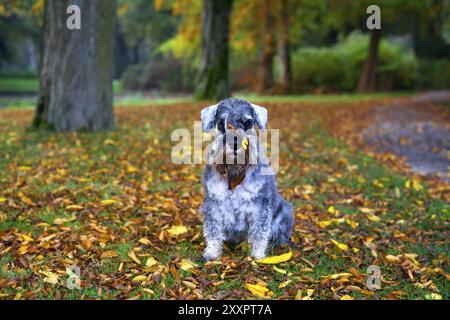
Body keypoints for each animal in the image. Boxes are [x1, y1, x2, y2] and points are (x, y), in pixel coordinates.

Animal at [201, 98, 296, 260]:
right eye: (221, 123)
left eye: (248, 123)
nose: (234, 143)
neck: (235, 173)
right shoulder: (213, 205)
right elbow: (212, 230)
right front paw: (212, 252)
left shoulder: (260, 206)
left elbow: (259, 233)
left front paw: (257, 256)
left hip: (284, 213)